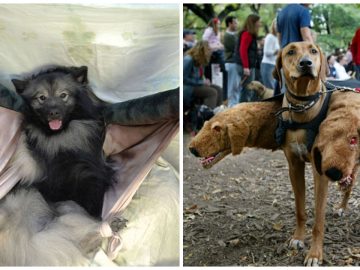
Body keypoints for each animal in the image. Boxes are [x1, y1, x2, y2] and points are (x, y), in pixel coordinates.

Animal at [272, 41, 332, 266]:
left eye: (313, 51)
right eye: (290, 51)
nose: (306, 63)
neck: (303, 105)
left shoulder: (320, 171)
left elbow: (319, 218)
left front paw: (315, 254)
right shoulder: (294, 166)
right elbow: (299, 208)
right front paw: (298, 238)